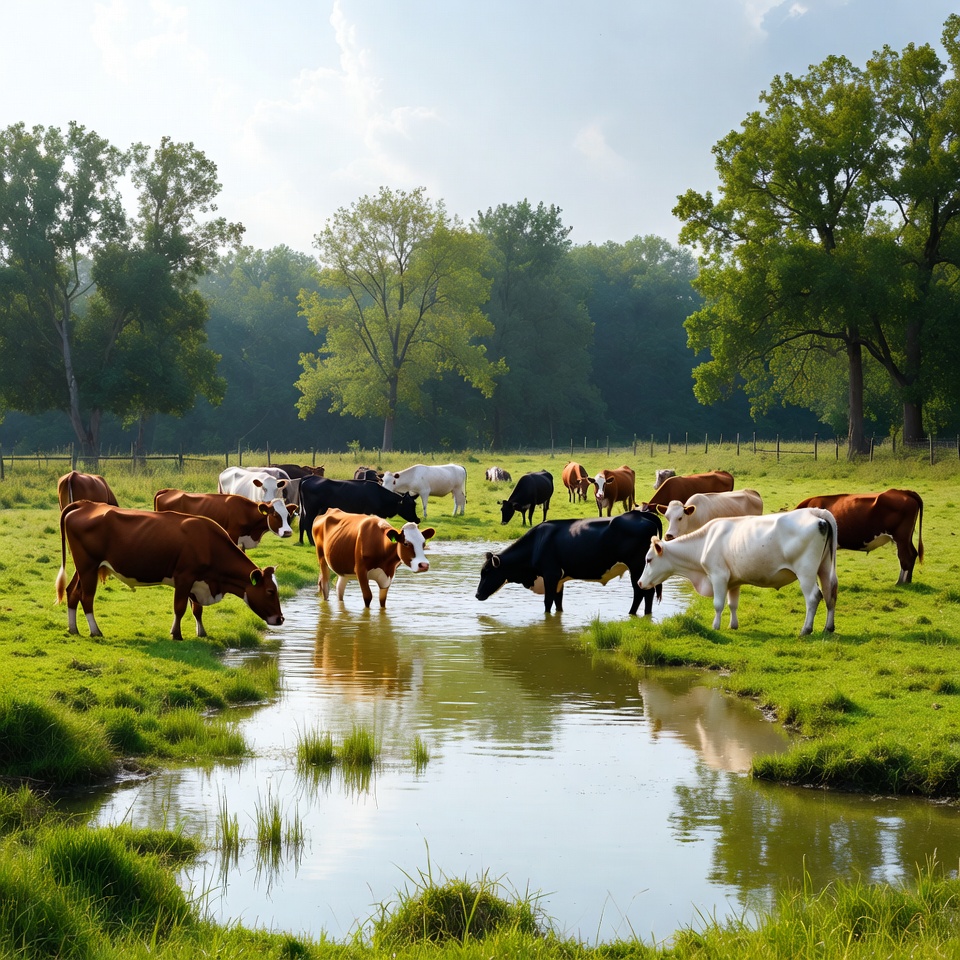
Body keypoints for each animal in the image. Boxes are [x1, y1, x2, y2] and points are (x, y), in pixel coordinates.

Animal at [55, 501, 284, 640]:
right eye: (270, 591)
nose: (280, 619)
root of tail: (87, 504)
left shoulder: (198, 582)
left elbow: (197, 609)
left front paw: (201, 633)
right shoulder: (184, 577)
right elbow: (180, 608)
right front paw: (176, 634)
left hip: (85, 567)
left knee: (72, 592)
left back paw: (73, 629)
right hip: (88, 566)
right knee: (87, 597)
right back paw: (95, 631)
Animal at [476, 510, 663, 615]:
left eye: (487, 572)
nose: (477, 595)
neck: (537, 543)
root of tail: (641, 514)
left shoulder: (550, 575)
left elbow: (548, 602)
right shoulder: (559, 580)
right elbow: (558, 603)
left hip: (637, 567)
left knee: (641, 592)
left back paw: (631, 614)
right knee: (648, 593)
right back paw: (647, 615)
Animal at [638, 507, 838, 635]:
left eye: (648, 559)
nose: (640, 582)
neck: (705, 541)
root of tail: (814, 512)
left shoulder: (718, 575)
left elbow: (718, 604)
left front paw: (715, 626)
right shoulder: (734, 581)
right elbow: (732, 604)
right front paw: (733, 625)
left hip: (806, 572)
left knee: (813, 597)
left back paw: (806, 629)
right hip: (825, 568)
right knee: (830, 593)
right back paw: (828, 628)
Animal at [794, 489, 924, 584]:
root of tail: (903, 491)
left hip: (901, 537)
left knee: (905, 557)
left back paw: (900, 583)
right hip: (907, 538)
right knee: (913, 554)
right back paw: (907, 582)